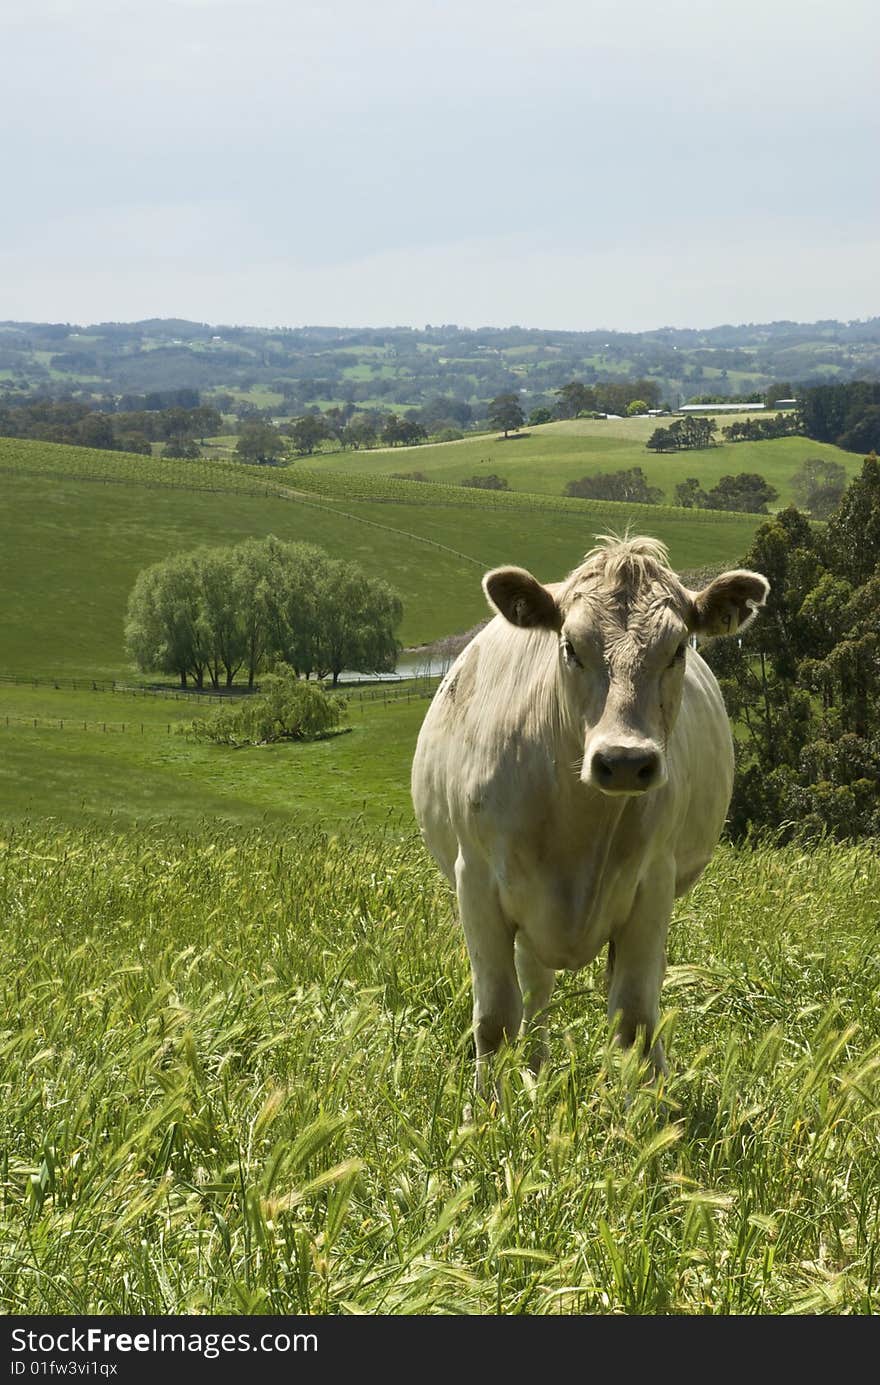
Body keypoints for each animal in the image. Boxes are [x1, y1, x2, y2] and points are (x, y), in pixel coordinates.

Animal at [412, 534, 770, 1085]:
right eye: (569, 647)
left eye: (677, 649)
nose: (624, 761)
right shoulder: (476, 882)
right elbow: (495, 1020)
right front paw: (489, 1106)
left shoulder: (653, 886)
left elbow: (634, 1021)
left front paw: (642, 1106)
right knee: (535, 991)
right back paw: (534, 1072)